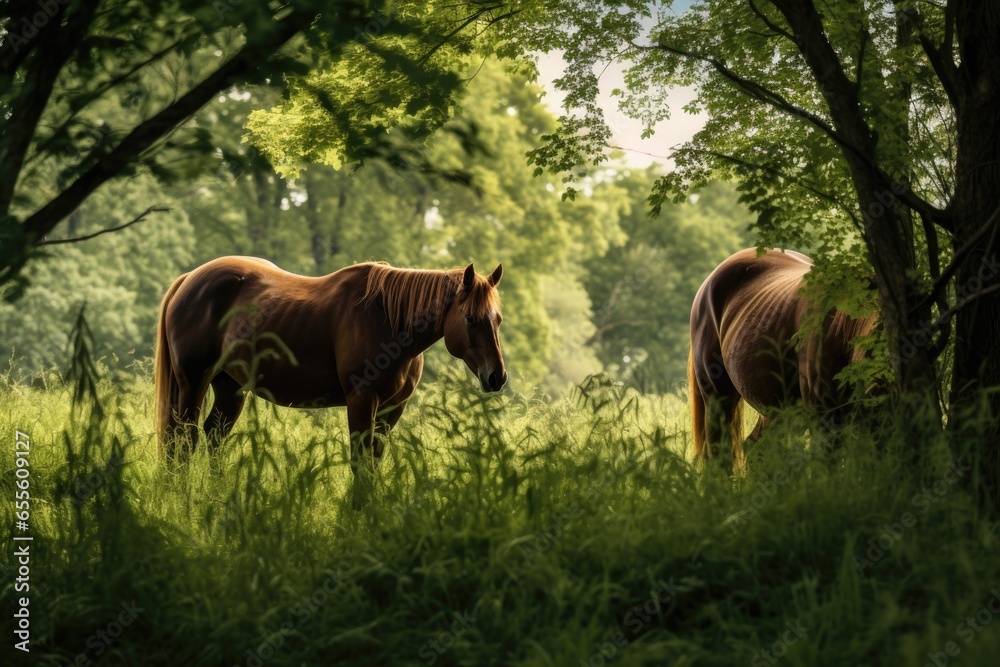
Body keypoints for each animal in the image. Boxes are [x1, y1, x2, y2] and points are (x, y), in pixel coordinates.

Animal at [154, 256, 507, 498]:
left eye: (498, 319)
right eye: (471, 319)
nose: (497, 377)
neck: (389, 320)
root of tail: (189, 279)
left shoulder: (392, 410)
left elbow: (374, 462)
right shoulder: (362, 400)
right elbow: (359, 463)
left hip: (230, 388)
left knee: (213, 437)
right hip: (193, 383)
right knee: (182, 441)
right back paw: (181, 498)